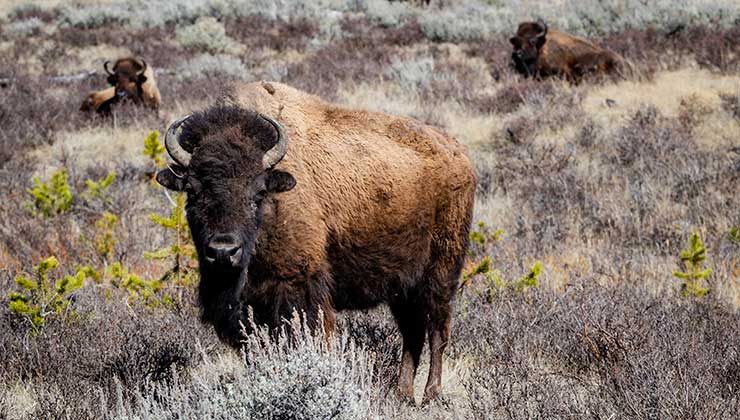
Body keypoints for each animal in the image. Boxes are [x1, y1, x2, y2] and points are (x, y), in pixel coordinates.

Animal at [157, 81, 476, 400]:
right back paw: (402, 394)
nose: (223, 251)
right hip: (403, 286)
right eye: (192, 191)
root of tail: (460, 155)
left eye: (258, 192)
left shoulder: (300, 290)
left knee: (437, 330)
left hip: (440, 273)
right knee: (412, 333)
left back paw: (430, 393)